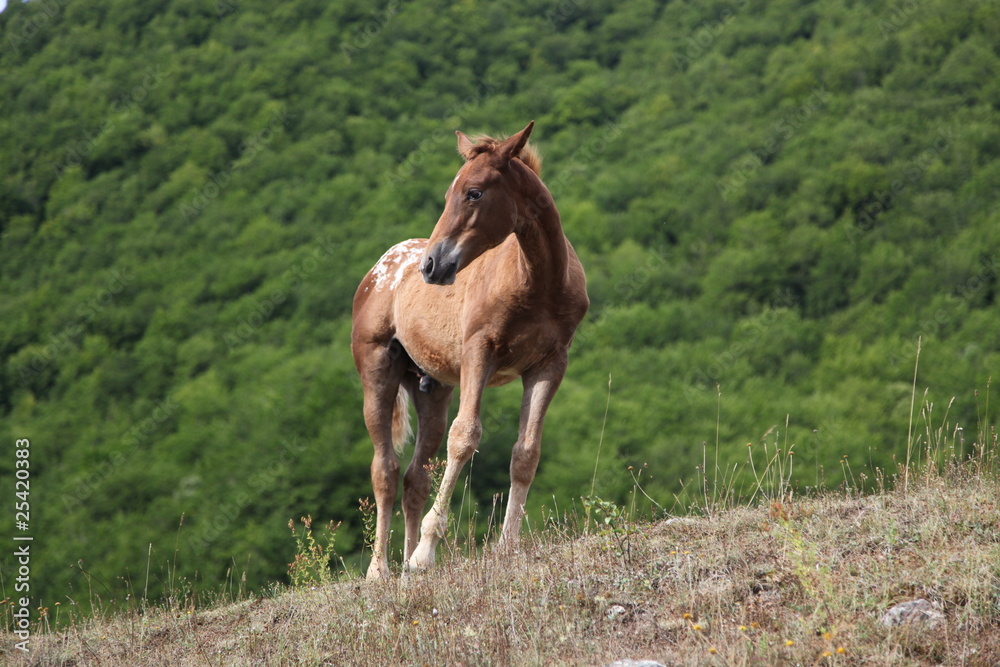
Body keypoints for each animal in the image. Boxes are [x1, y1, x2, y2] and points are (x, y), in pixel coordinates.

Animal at [351, 122, 589, 579]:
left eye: (474, 192)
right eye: (449, 192)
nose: (431, 265)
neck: (538, 282)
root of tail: (377, 269)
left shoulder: (549, 363)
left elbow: (526, 452)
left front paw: (507, 548)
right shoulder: (480, 351)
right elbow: (465, 437)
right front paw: (426, 552)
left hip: (432, 388)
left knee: (415, 476)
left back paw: (402, 564)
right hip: (376, 368)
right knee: (385, 469)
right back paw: (380, 571)